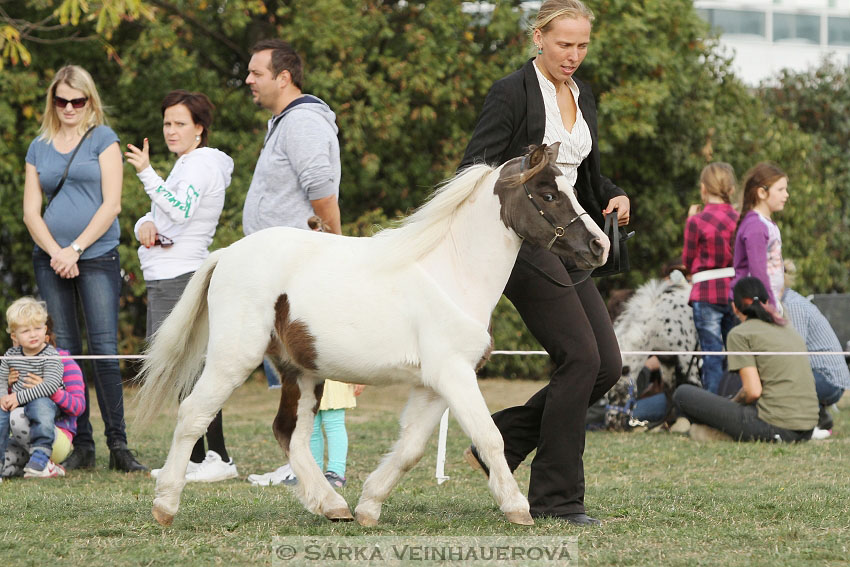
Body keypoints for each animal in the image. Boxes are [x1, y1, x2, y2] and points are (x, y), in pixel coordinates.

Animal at [136, 142, 608, 528]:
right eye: (548, 194)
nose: (599, 247)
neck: (452, 273)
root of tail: (226, 254)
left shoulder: (433, 386)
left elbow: (411, 448)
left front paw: (368, 507)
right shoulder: (454, 375)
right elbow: (490, 437)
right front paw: (517, 508)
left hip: (300, 371)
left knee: (290, 432)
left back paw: (333, 506)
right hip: (234, 358)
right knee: (194, 414)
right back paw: (165, 506)